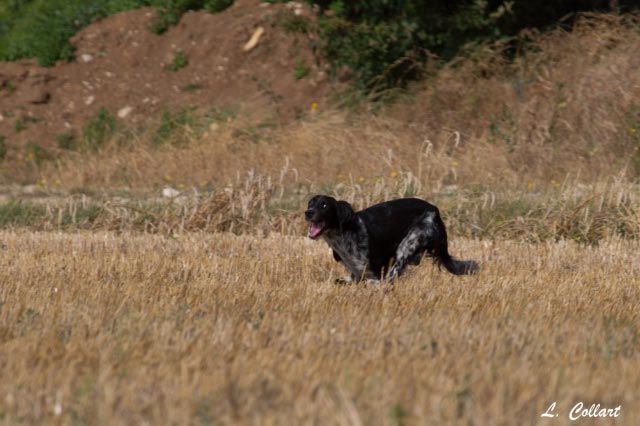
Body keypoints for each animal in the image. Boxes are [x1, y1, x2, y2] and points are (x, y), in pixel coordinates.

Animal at [306, 194, 480, 282]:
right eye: (310, 203)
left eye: (324, 205)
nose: (307, 212)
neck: (345, 232)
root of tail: (435, 210)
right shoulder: (356, 273)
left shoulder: (375, 271)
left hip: (408, 243)